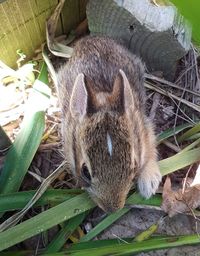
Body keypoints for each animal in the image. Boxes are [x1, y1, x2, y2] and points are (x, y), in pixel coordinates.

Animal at [56, 36, 161, 212]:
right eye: (85, 171)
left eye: (133, 165)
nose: (113, 209)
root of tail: (89, 39)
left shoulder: (143, 128)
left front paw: (149, 185)